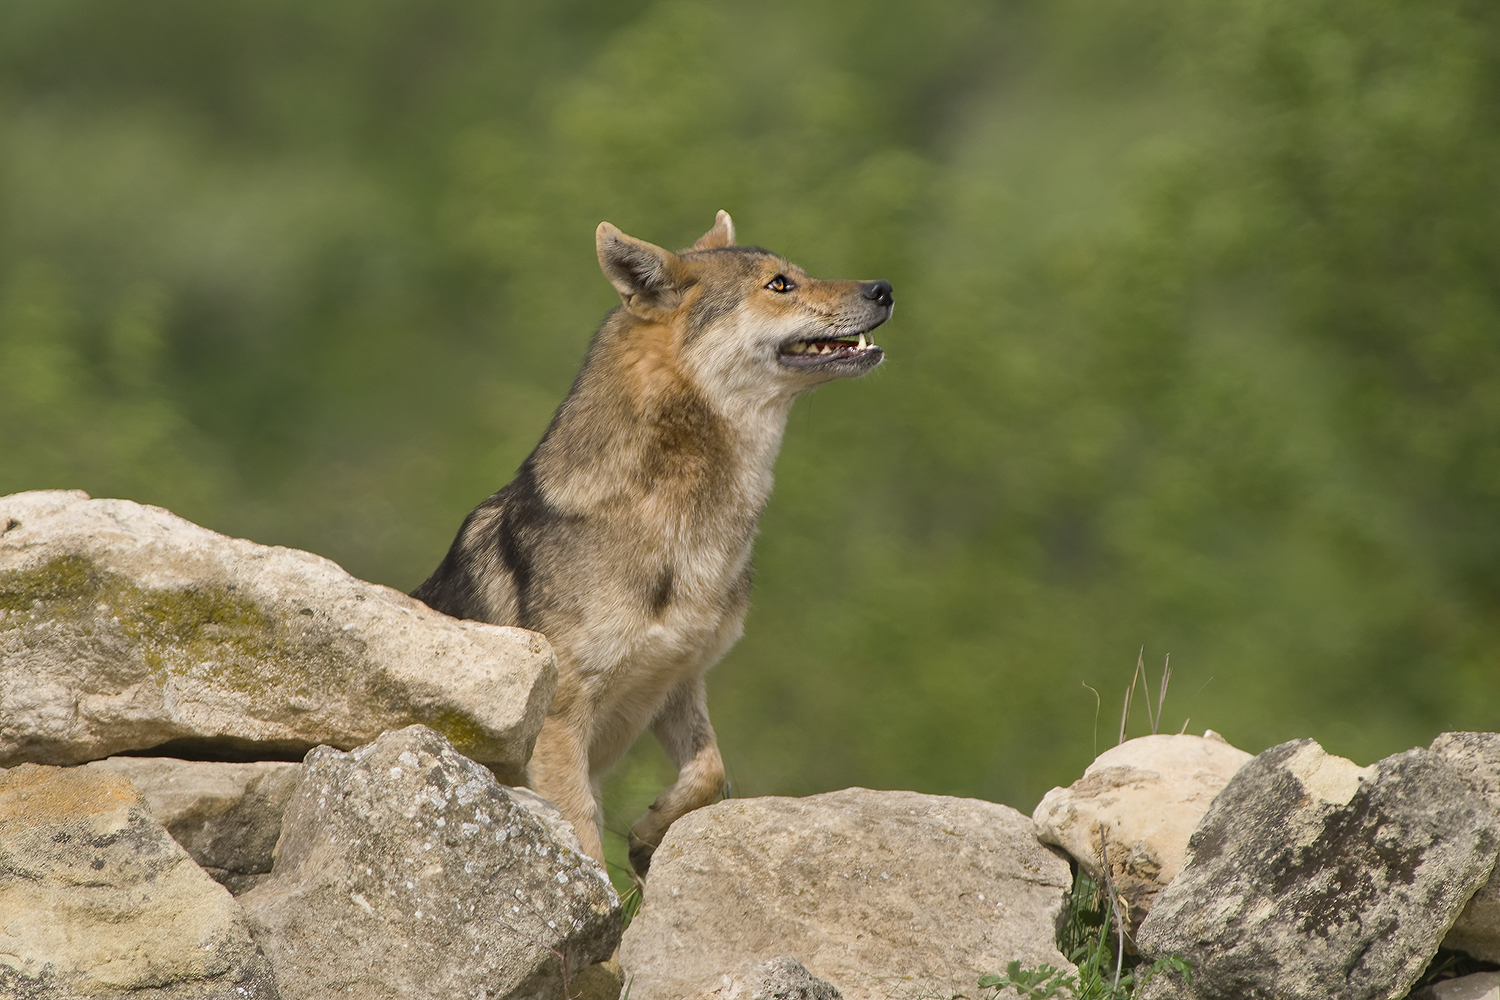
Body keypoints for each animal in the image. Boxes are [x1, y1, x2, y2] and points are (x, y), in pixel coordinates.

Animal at [411, 212, 888, 875]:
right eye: (780, 284)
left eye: (796, 274)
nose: (884, 289)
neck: (674, 523)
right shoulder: (561, 720)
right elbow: (584, 836)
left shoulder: (679, 681)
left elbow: (709, 771)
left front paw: (647, 836)